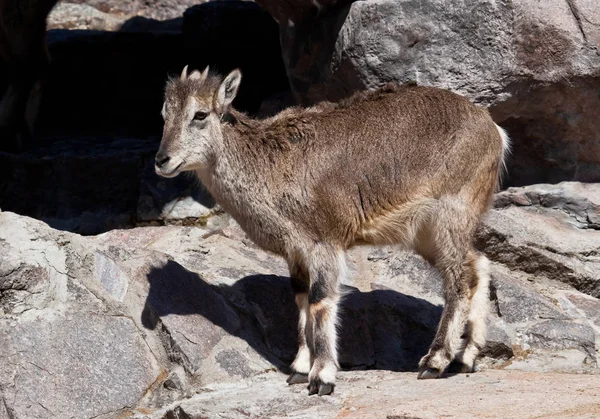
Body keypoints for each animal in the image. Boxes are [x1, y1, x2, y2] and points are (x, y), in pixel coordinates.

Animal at [156, 65, 510, 398]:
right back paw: (465, 358)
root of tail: (493, 129)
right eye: (164, 114)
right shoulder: (296, 252)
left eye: (200, 114)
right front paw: (299, 368)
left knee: (459, 281)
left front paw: (322, 377)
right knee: (478, 265)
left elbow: (320, 300)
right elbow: (300, 300)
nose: (162, 160)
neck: (269, 165)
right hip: (429, 233)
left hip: (450, 216)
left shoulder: (325, 241)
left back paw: (434, 361)